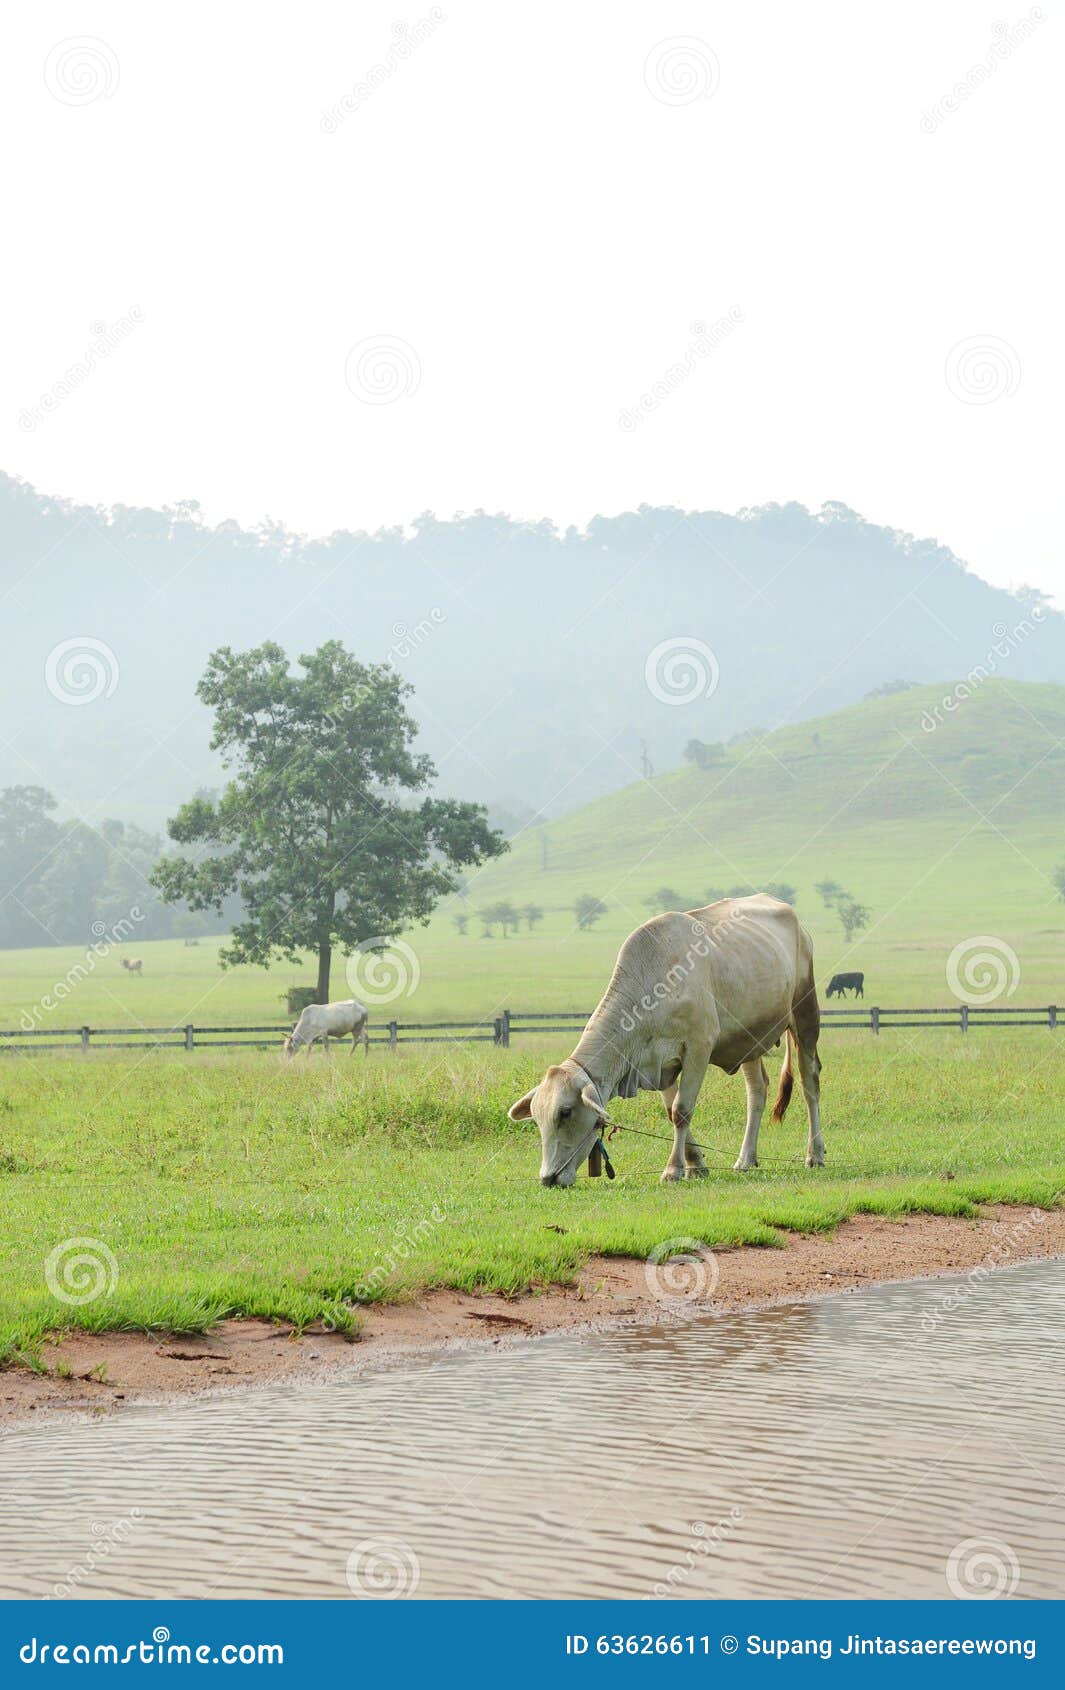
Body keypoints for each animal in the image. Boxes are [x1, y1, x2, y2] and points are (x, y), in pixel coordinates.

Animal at [510, 892, 824, 1183]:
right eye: (537, 1117)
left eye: (564, 1113)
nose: (548, 1178)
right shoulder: (657, 1064)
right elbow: (670, 1111)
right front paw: (695, 1164)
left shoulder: (698, 1049)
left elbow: (682, 1110)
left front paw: (673, 1169)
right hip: (749, 1040)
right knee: (757, 1090)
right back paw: (746, 1159)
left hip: (805, 1015)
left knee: (809, 1082)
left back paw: (815, 1154)